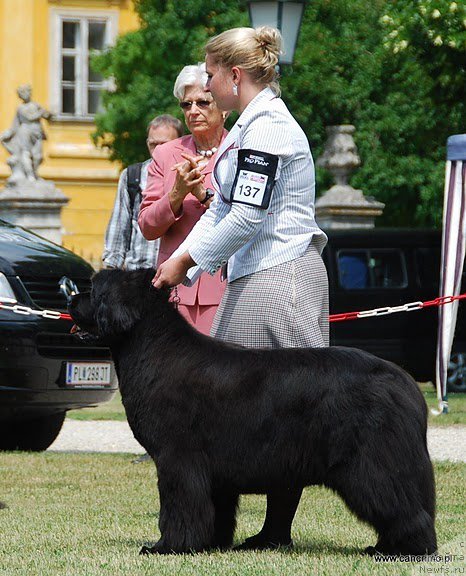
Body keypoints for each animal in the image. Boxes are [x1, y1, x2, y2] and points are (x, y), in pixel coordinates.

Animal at [69, 268, 436, 556]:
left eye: (95, 289)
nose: (70, 296)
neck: (152, 347)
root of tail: (405, 383)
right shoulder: (210, 469)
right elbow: (216, 509)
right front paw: (211, 543)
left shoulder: (177, 458)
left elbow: (178, 506)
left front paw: (167, 547)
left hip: (372, 464)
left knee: (401, 506)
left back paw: (404, 551)